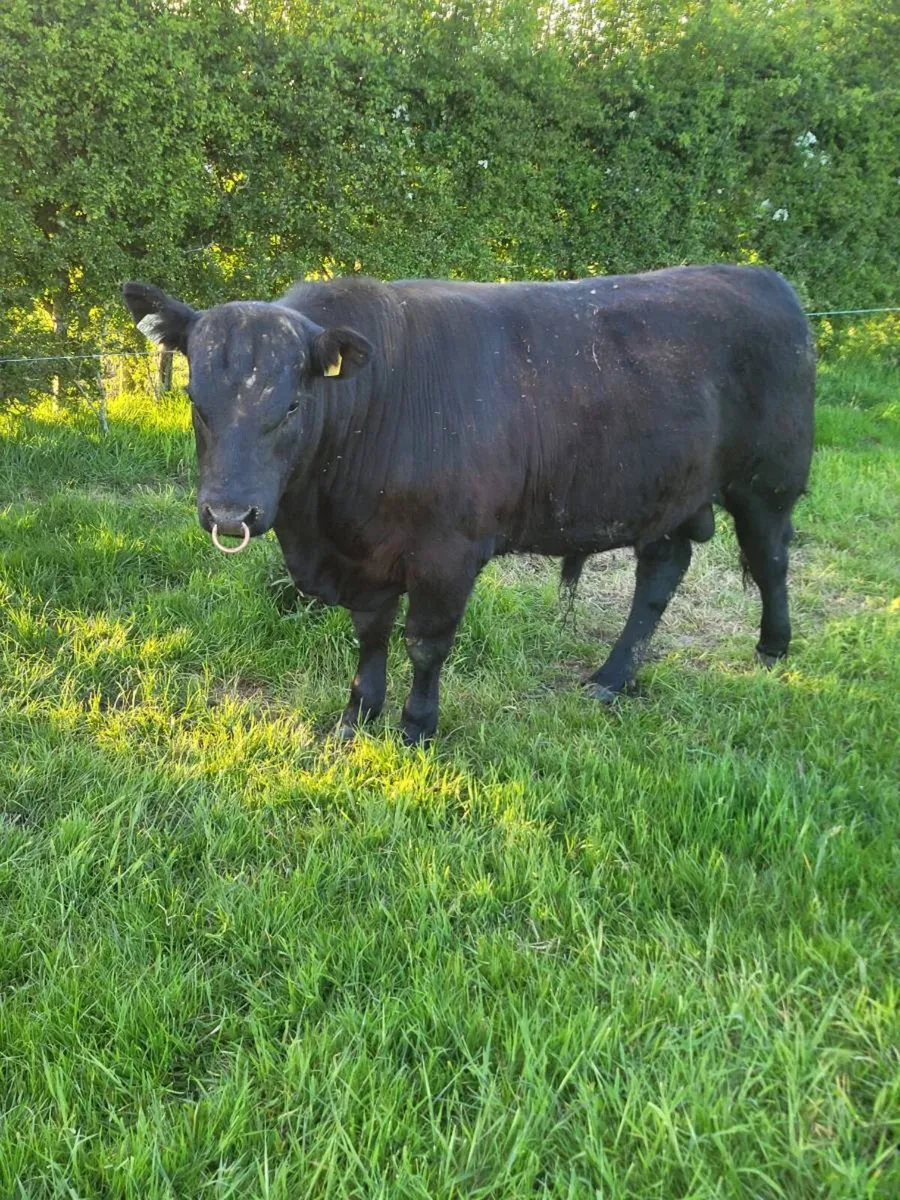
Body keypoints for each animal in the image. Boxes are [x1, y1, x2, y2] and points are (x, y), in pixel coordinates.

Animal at [123, 265, 815, 744]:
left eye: (292, 405)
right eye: (194, 398)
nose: (229, 514)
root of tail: (763, 277)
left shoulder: (447, 555)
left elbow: (426, 644)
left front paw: (416, 727)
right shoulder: (366, 558)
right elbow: (370, 635)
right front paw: (357, 715)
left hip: (768, 482)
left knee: (770, 559)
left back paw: (773, 646)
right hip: (664, 495)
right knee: (659, 576)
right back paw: (610, 678)